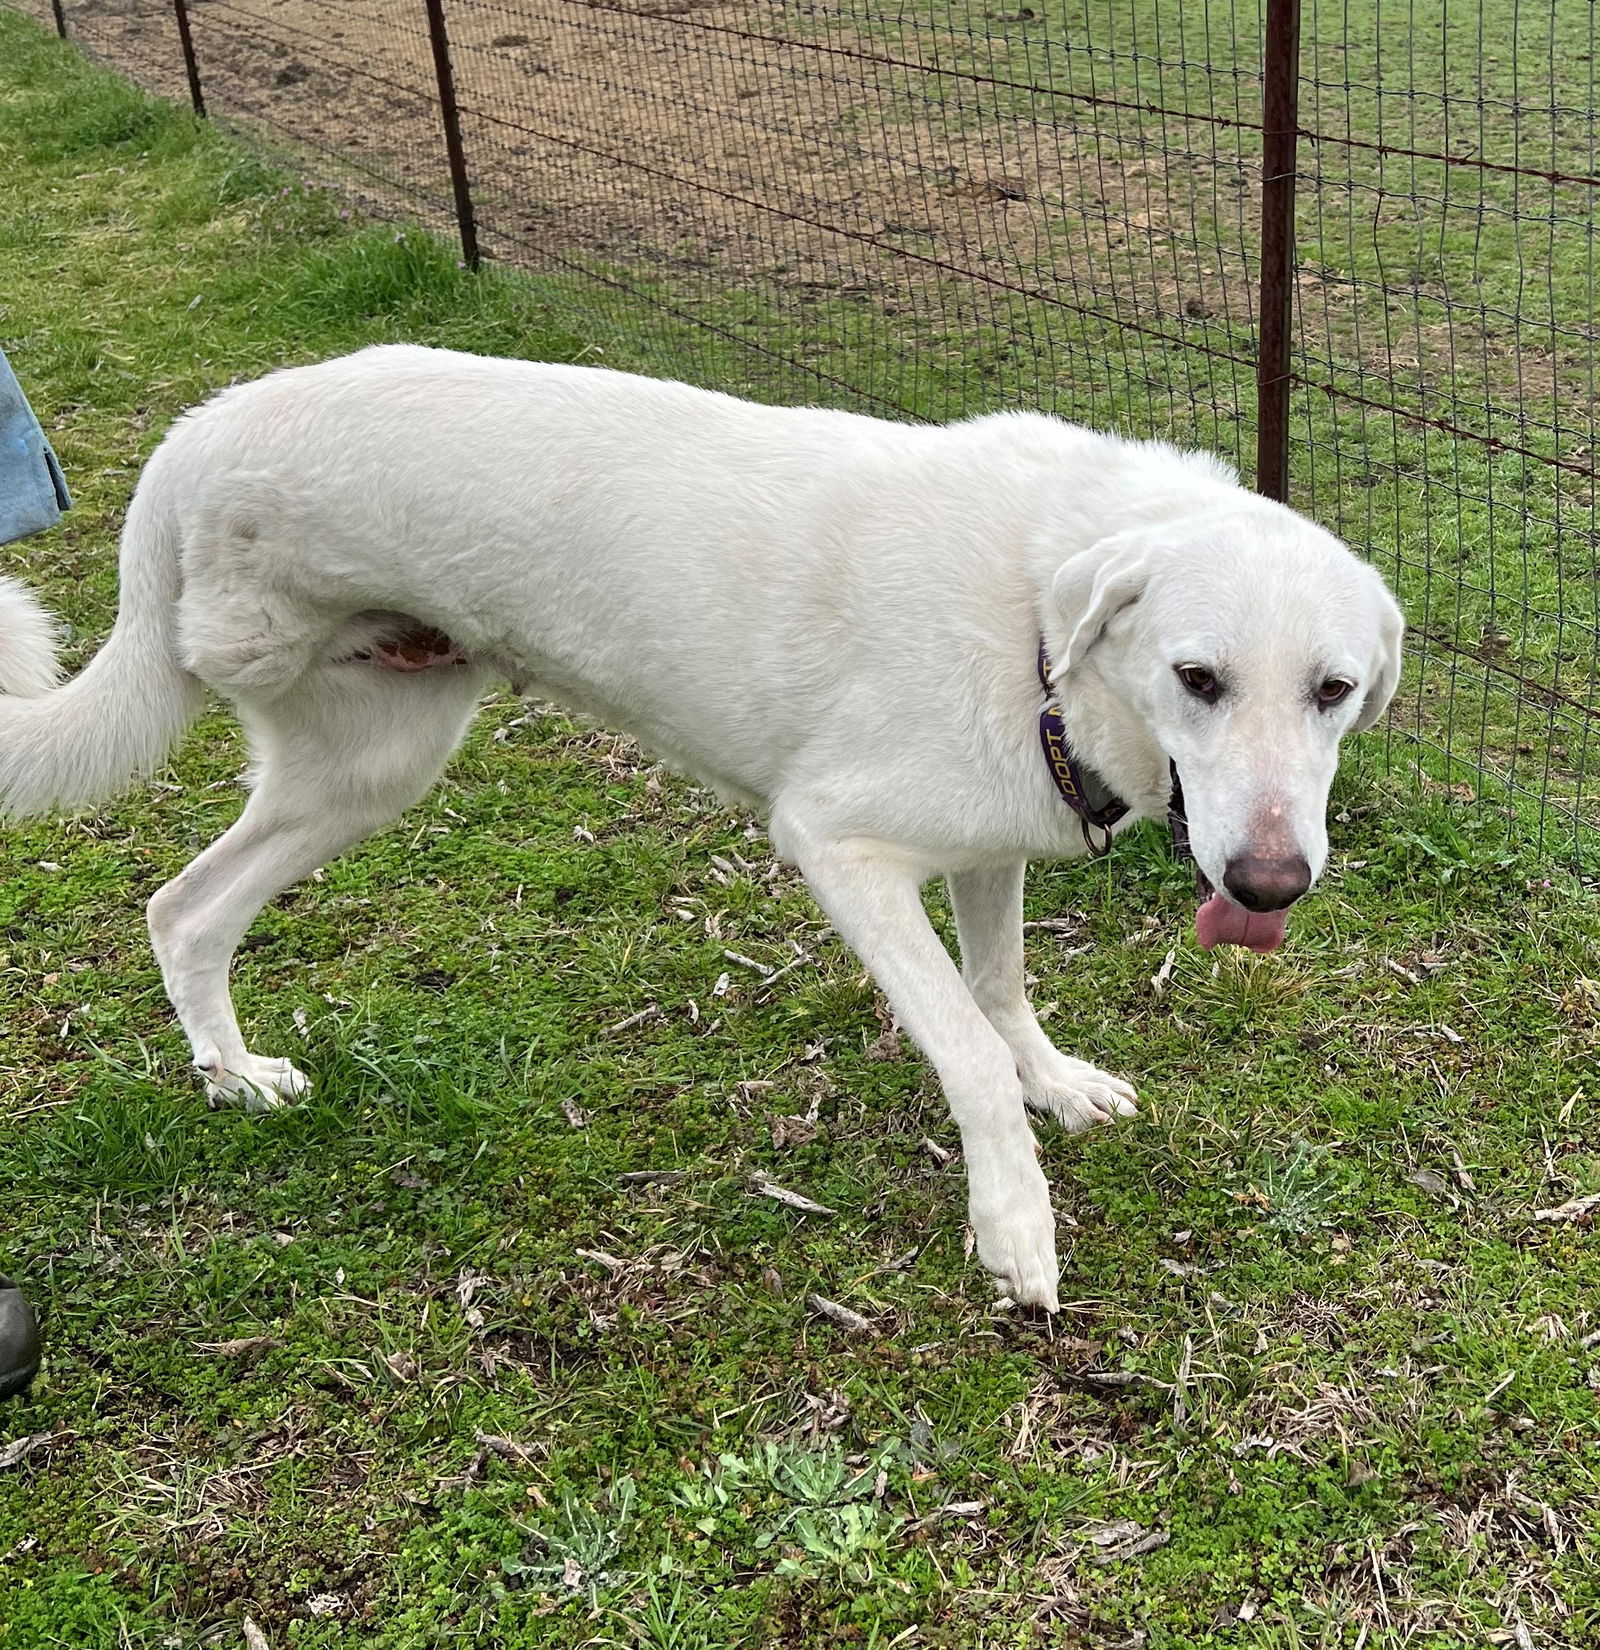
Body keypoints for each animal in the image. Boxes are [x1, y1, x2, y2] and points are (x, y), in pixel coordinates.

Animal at [0, 344, 1398, 1300]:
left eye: (1333, 692)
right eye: (1197, 679)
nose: (1268, 887)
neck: (1037, 626)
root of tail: (194, 436)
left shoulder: (989, 850)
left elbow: (1002, 998)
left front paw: (1055, 1086)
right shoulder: (837, 849)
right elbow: (964, 1047)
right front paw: (1016, 1228)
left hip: (367, 770)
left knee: (181, 911)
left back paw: (233, 1077)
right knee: (184, 905)